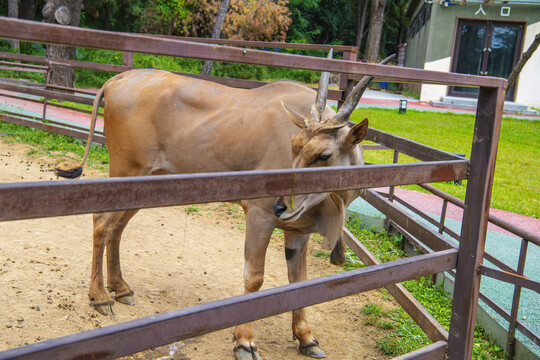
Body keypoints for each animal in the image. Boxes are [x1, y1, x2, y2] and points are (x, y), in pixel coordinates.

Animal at [56, 52, 392, 358]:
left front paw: (307, 338)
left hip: (145, 185)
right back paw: (100, 296)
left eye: (323, 155)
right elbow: (254, 277)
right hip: (125, 174)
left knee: (117, 228)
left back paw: (121, 288)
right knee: (101, 222)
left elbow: (299, 281)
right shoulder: (259, 215)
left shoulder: (298, 230)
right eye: (295, 146)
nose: (281, 207)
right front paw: (244, 341)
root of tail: (117, 80)